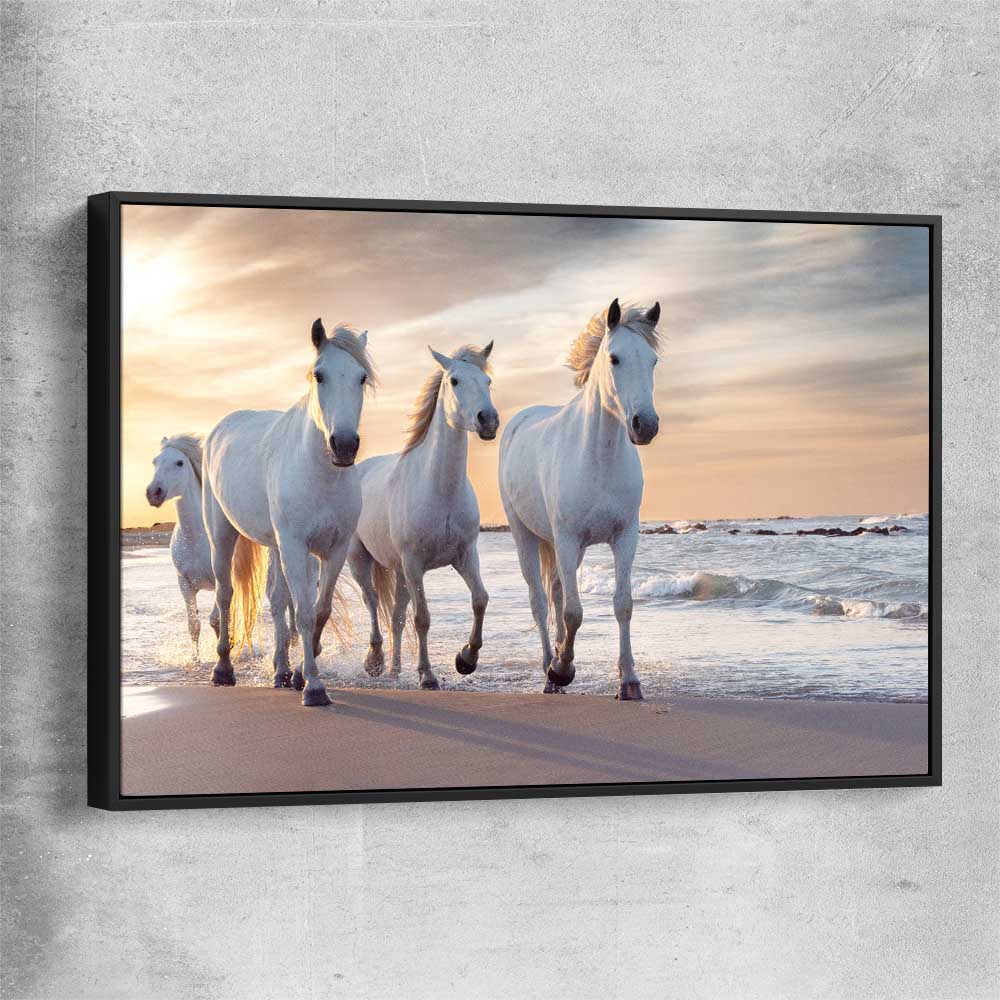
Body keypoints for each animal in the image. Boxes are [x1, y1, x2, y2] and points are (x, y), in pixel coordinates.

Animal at [145, 434, 219, 658]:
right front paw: (195, 660)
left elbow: (217, 621)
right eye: (155, 462)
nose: (153, 493)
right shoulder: (185, 584)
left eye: (179, 462)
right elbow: (193, 625)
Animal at [202, 319, 375, 706]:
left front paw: (299, 674)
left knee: (278, 601)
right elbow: (306, 614)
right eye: (319, 375)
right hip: (222, 535)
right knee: (225, 594)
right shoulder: (296, 547)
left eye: (361, 378)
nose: (344, 445)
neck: (320, 475)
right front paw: (314, 687)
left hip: (275, 546)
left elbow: (318, 611)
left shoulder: (333, 550)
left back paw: (281, 671)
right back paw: (223, 669)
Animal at [347, 342, 499, 690]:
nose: (488, 420)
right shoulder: (415, 562)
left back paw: (394, 670)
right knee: (372, 601)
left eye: (487, 381)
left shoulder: (465, 555)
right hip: (361, 560)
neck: (439, 489)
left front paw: (466, 659)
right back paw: (375, 662)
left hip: (400, 572)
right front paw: (427, 675)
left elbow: (480, 599)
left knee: (396, 616)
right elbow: (423, 618)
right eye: (454, 381)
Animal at [498, 299, 661, 700]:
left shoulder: (624, 538)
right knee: (540, 602)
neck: (599, 458)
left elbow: (622, 605)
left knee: (556, 593)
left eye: (653, 360)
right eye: (615, 358)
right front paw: (562, 669)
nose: (646, 425)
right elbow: (573, 612)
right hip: (526, 535)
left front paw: (629, 681)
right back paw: (549, 669)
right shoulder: (568, 540)